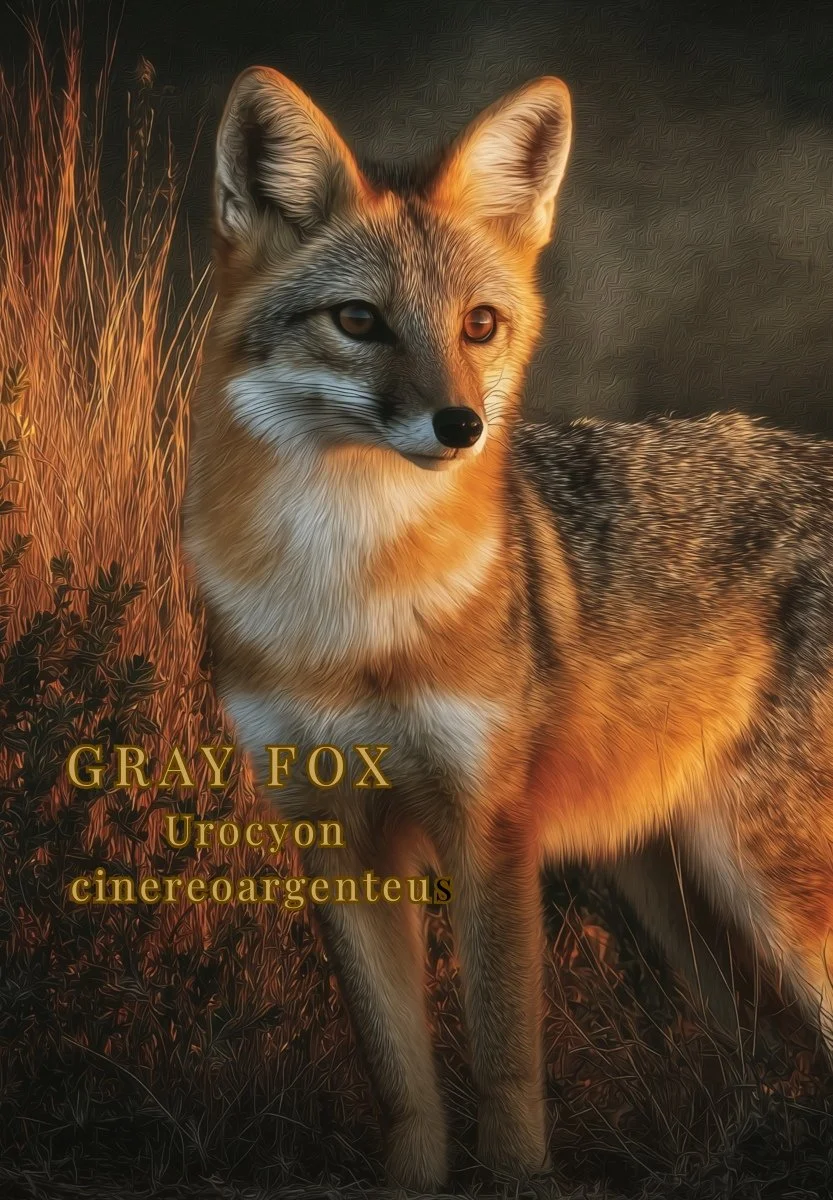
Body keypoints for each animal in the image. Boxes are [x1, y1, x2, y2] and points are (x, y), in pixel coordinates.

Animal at [182, 65, 833, 1190]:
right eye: (358, 320)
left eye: (478, 326)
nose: (461, 425)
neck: (351, 615)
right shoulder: (333, 829)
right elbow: (400, 1071)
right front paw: (411, 1183)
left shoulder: (488, 827)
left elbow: (503, 1059)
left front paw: (522, 1179)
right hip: (683, 897)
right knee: (765, 1055)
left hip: (764, 887)